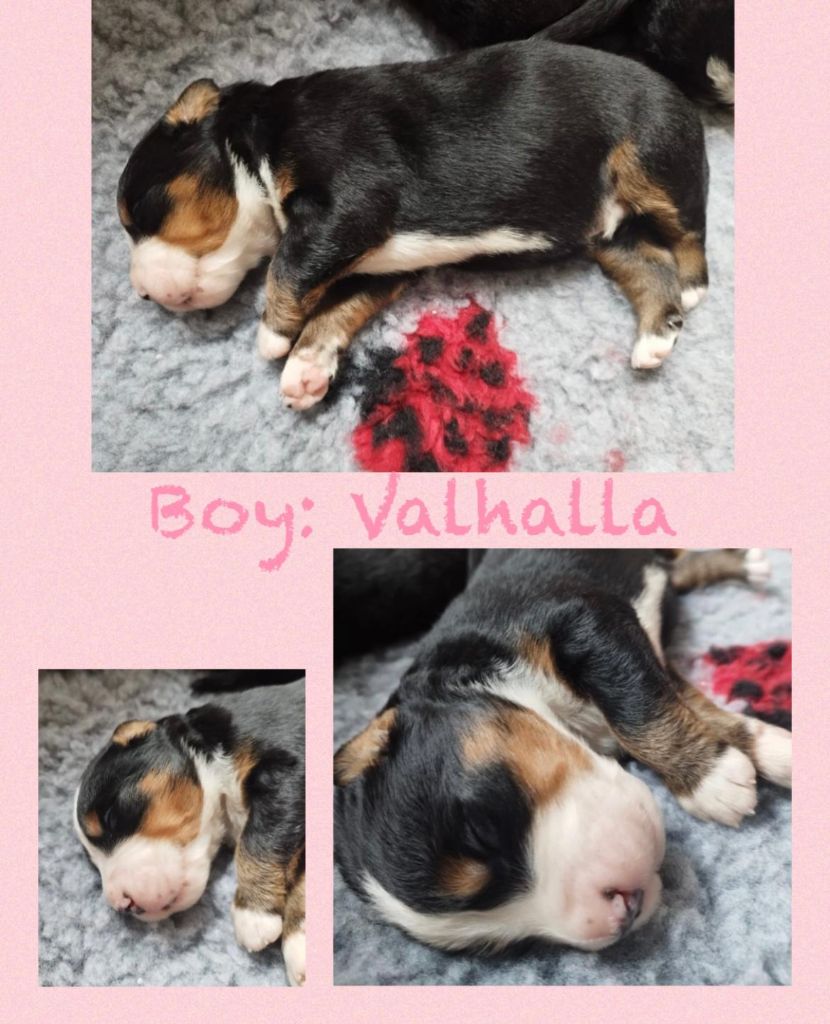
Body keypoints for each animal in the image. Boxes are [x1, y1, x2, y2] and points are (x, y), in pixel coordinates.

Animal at [73, 671, 306, 986]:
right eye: (92, 862)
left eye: (110, 816)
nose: (123, 904)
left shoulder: (287, 770)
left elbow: (260, 840)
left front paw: (253, 914)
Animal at [117, 38, 708, 409]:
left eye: (140, 211)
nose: (142, 294)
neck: (258, 144)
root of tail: (680, 94)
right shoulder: (372, 260)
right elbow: (336, 305)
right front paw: (307, 367)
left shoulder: (352, 200)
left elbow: (287, 266)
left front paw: (272, 335)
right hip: (612, 233)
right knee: (647, 264)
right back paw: (656, 336)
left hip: (652, 155)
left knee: (690, 232)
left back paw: (692, 286)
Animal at [334, 549, 791, 953]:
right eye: (505, 946)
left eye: (478, 830)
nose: (623, 909)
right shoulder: (632, 647)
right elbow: (679, 698)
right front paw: (764, 749)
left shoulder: (583, 623)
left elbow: (639, 704)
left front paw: (709, 778)